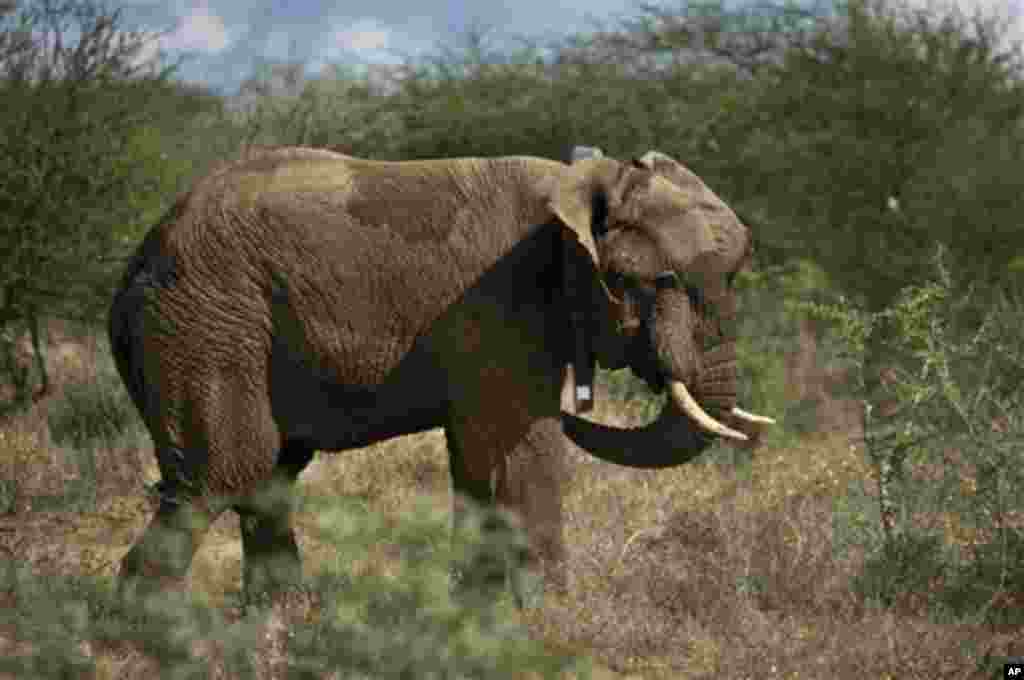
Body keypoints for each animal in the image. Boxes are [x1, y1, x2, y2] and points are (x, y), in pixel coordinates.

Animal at [109, 144, 773, 604]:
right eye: (660, 283)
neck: (588, 181)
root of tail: (141, 254)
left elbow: (481, 461)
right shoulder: (503, 300)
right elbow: (521, 448)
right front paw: (553, 631)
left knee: (269, 479)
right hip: (205, 322)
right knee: (222, 475)